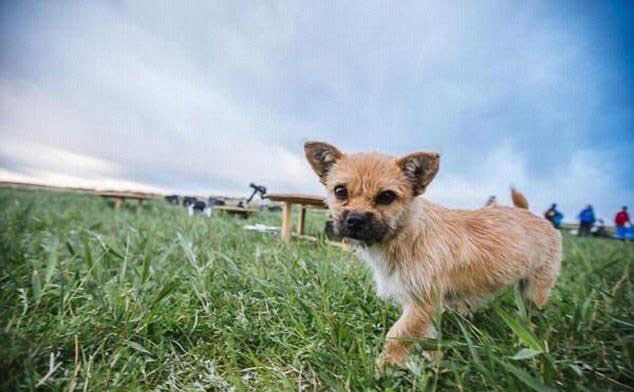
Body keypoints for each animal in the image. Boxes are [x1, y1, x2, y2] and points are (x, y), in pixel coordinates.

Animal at [304, 142, 560, 368]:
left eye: (386, 196)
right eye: (340, 191)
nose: (354, 220)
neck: (405, 235)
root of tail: (534, 215)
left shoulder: (422, 303)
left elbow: (398, 335)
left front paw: (384, 368)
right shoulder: (421, 307)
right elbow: (426, 338)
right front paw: (432, 365)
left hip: (535, 289)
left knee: (532, 312)